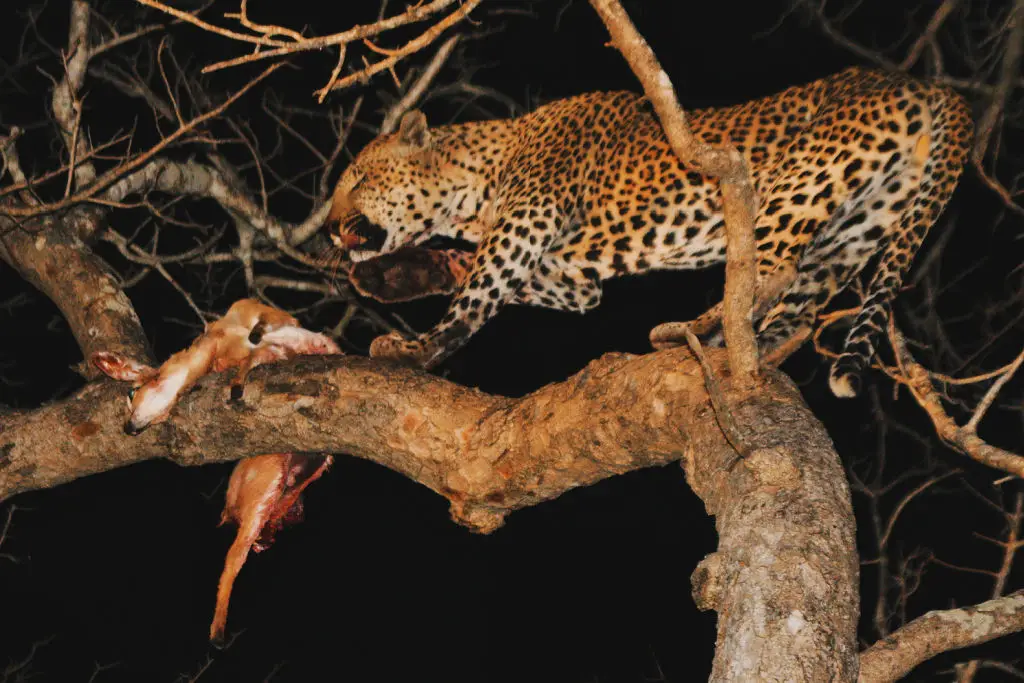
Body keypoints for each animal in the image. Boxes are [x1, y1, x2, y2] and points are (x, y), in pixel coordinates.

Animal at [326, 66, 972, 397]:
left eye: (357, 178)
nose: (331, 229)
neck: (473, 190)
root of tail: (927, 84)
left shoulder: (525, 227)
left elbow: (476, 294)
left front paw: (417, 349)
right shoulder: (572, 276)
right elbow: (463, 268)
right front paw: (393, 278)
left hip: (804, 178)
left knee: (771, 271)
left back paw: (693, 331)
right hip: (861, 221)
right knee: (802, 304)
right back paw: (752, 345)